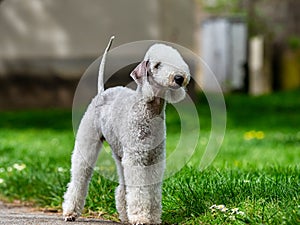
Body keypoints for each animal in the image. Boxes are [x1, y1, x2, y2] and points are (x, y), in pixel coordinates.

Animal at [62, 37, 191, 224]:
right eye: (157, 65)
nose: (180, 78)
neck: (148, 109)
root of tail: (102, 92)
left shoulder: (155, 158)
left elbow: (152, 190)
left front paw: (153, 217)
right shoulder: (136, 158)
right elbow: (139, 190)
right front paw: (140, 217)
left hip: (120, 154)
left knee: (122, 185)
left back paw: (124, 215)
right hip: (88, 141)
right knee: (79, 178)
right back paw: (70, 212)